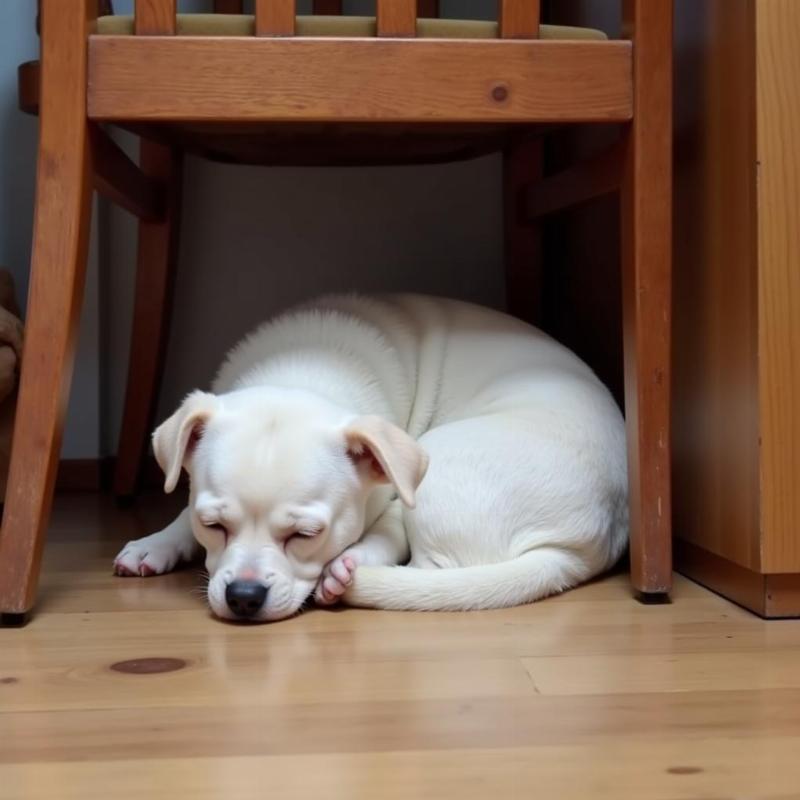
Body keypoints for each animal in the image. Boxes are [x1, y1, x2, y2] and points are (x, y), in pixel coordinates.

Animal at [114, 296, 624, 624]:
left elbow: (385, 531)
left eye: (306, 535)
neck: (305, 369)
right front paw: (157, 542)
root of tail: (582, 545)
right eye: (213, 525)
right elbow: (181, 513)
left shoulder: (398, 496)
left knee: (430, 574)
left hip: (443, 469)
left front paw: (350, 559)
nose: (243, 596)